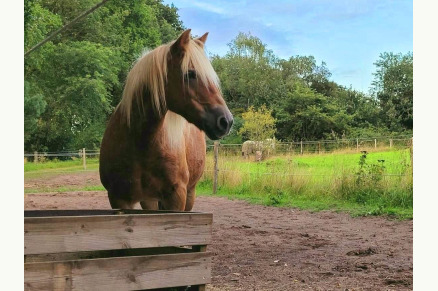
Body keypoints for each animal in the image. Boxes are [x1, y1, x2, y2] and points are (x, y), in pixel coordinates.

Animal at [99, 29, 233, 211]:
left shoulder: (176, 198)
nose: (226, 121)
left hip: (189, 194)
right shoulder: (118, 199)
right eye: (190, 74)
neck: (141, 142)